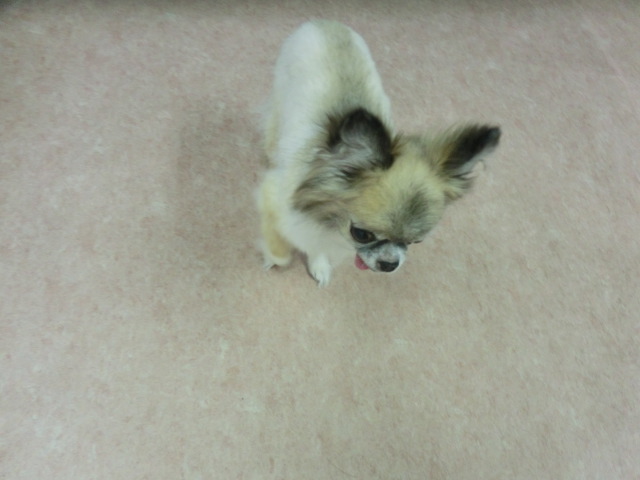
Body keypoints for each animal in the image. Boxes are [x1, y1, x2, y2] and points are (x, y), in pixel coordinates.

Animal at [257, 20, 500, 286]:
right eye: (361, 234)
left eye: (415, 241)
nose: (390, 264)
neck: (327, 219)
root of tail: (325, 22)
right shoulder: (274, 196)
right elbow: (280, 239)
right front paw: (276, 255)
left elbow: (316, 247)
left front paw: (318, 264)